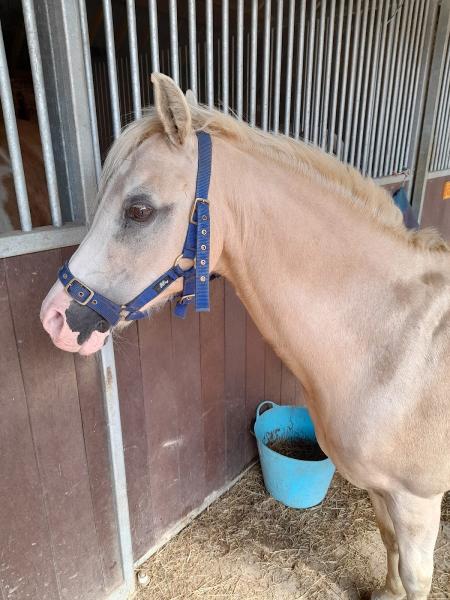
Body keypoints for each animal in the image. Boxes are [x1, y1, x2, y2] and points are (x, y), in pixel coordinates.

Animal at [41, 72, 450, 596]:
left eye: (139, 210)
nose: (53, 318)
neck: (395, 341)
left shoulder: (417, 498)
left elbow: (416, 576)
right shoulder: (385, 492)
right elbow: (388, 545)